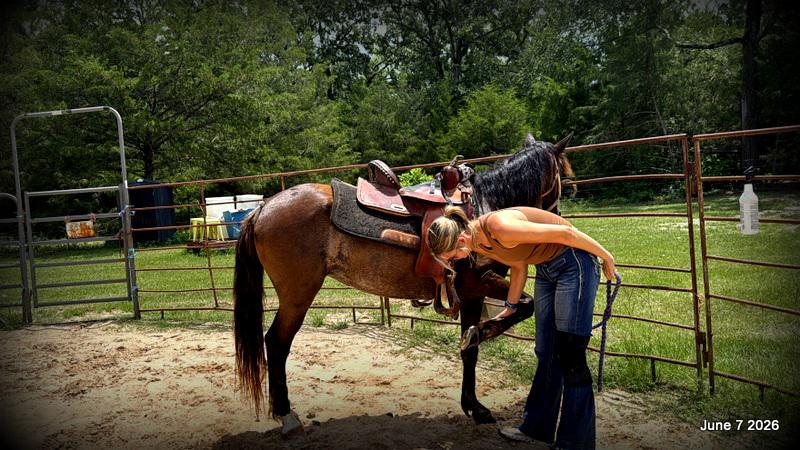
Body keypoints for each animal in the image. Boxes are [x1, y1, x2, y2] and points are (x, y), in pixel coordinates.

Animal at [233, 133, 574, 436]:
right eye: (565, 179)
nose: (557, 221)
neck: (486, 206)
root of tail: (262, 208)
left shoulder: (469, 293)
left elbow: (470, 351)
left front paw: (473, 405)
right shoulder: (478, 284)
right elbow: (520, 309)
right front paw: (483, 341)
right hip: (297, 295)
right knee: (276, 343)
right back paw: (287, 416)